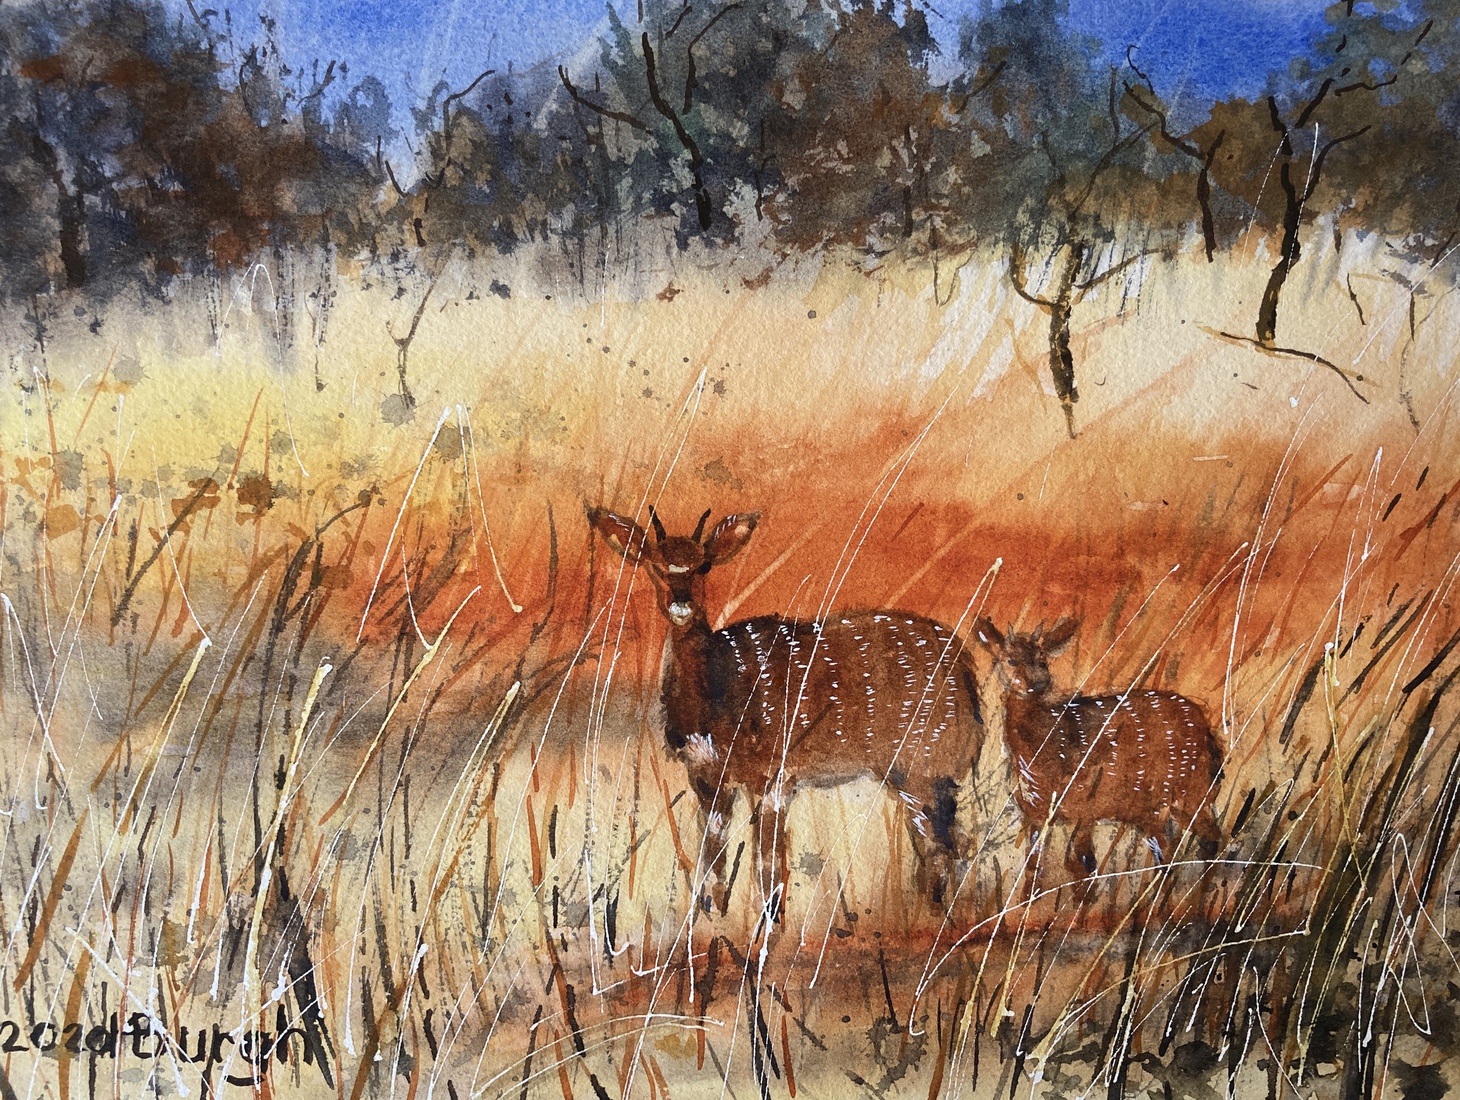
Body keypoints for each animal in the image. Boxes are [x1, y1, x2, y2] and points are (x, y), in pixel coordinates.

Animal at [588, 506, 985, 915]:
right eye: (655, 565)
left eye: (704, 565)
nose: (680, 605)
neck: (713, 705)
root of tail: (967, 673)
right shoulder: (706, 776)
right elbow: (712, 862)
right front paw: (713, 917)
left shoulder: (774, 774)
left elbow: (768, 867)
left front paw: (768, 925)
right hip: (912, 773)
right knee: (946, 840)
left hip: (926, 759)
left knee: (949, 843)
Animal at [974, 618, 1223, 881]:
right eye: (1010, 660)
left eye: (1043, 660)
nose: (1040, 683)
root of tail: (1206, 728)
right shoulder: (1036, 812)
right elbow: (1035, 867)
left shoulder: (1087, 804)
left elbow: (1084, 865)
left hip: (1181, 792)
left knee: (1199, 843)